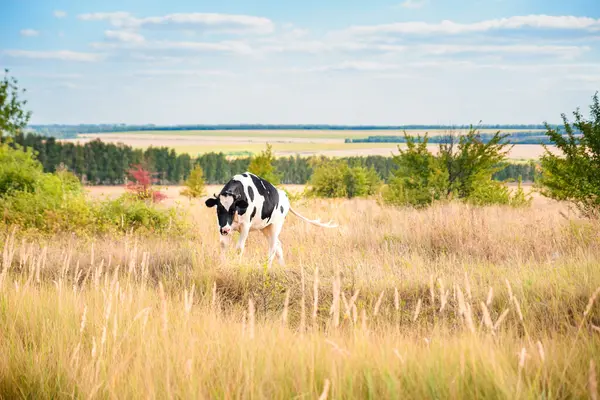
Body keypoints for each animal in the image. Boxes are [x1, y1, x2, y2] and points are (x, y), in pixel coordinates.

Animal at [205, 171, 338, 268]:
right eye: (218, 210)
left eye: (233, 210)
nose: (225, 230)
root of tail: (284, 196)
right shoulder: (222, 225)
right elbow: (223, 244)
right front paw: (222, 265)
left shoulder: (245, 226)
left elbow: (239, 249)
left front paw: (237, 265)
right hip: (265, 227)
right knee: (278, 245)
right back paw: (283, 267)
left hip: (275, 226)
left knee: (273, 246)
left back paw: (267, 268)